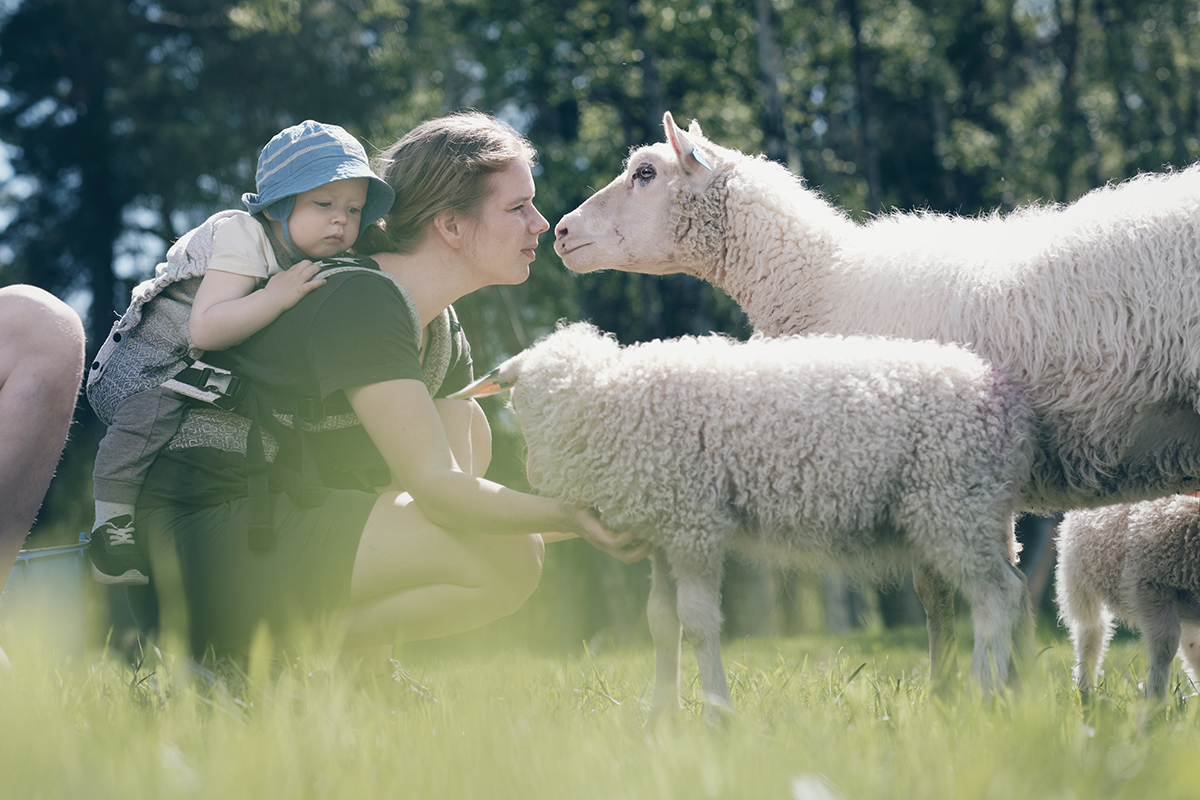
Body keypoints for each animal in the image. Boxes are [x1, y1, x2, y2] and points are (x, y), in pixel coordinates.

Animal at [453, 321, 1036, 724]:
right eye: (521, 394)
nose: (534, 469)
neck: (601, 401)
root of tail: (1005, 401)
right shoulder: (663, 533)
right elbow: (660, 622)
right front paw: (660, 717)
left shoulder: (692, 525)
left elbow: (697, 622)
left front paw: (717, 714)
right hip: (980, 511)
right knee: (1016, 587)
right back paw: (1010, 694)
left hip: (952, 504)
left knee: (995, 597)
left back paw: (982, 695)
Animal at [1056, 494, 1200, 700]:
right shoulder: (1151, 588)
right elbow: (1163, 648)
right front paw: (1155, 700)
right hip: (1078, 577)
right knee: (1090, 631)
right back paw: (1085, 691)